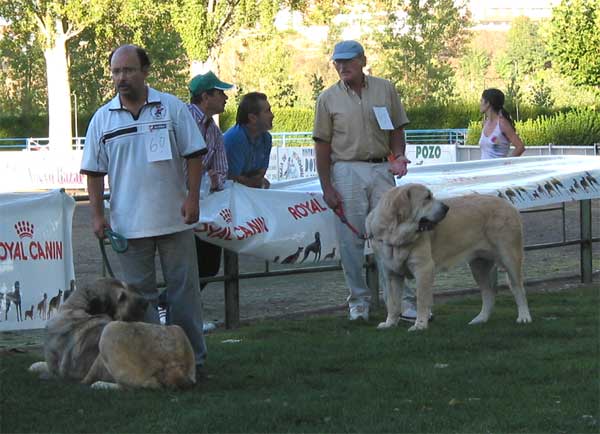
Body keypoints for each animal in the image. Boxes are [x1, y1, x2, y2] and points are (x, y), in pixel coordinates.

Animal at [364, 184, 532, 332]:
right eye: (427, 198)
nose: (446, 208)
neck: (395, 236)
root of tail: (507, 203)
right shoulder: (391, 274)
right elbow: (392, 303)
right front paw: (390, 324)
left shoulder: (423, 269)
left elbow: (421, 300)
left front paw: (420, 325)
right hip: (478, 266)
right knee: (488, 293)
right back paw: (480, 319)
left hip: (509, 257)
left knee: (518, 289)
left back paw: (524, 317)